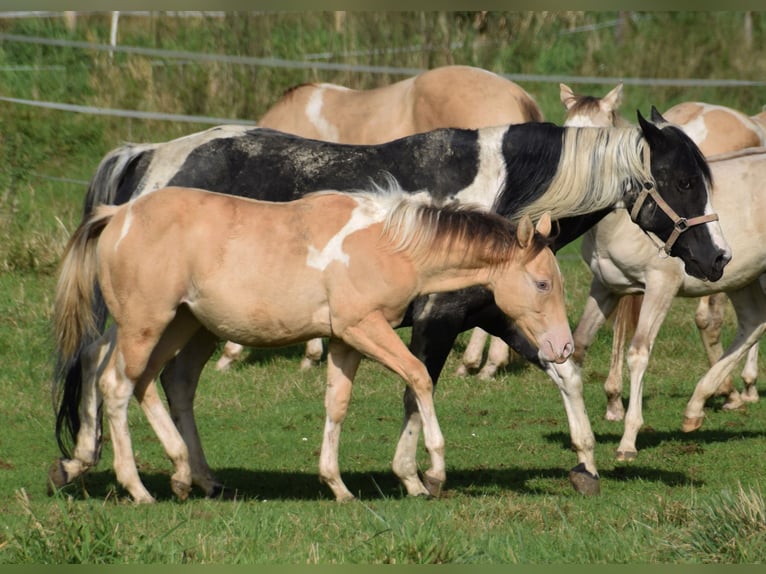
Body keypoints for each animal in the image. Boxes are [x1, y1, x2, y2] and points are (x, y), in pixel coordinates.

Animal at [51, 186, 572, 504]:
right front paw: (432, 475)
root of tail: (118, 215)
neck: (388, 244)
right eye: (543, 283)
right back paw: (138, 487)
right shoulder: (366, 328)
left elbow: (336, 405)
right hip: (146, 325)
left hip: (178, 325)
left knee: (150, 385)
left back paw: (184, 475)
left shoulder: (346, 341)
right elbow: (419, 378)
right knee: (116, 386)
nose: (563, 348)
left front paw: (337, 485)